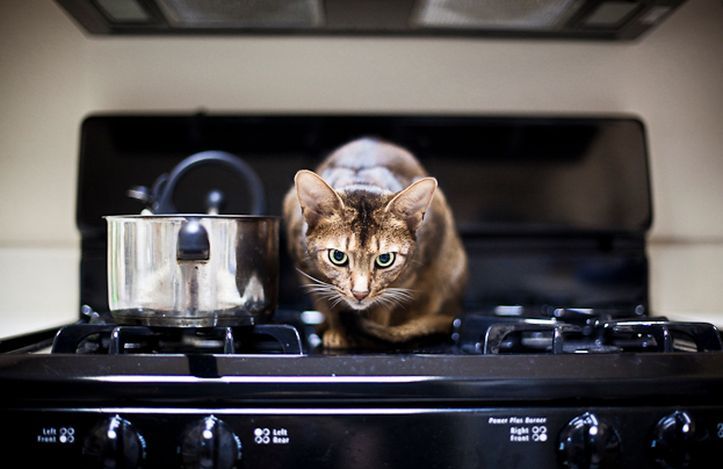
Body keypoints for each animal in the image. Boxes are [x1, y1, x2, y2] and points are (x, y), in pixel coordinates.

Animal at [282, 136, 470, 348]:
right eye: (337, 256)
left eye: (385, 259)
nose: (360, 294)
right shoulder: (307, 272)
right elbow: (327, 303)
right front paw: (338, 332)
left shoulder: (410, 274)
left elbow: (384, 306)